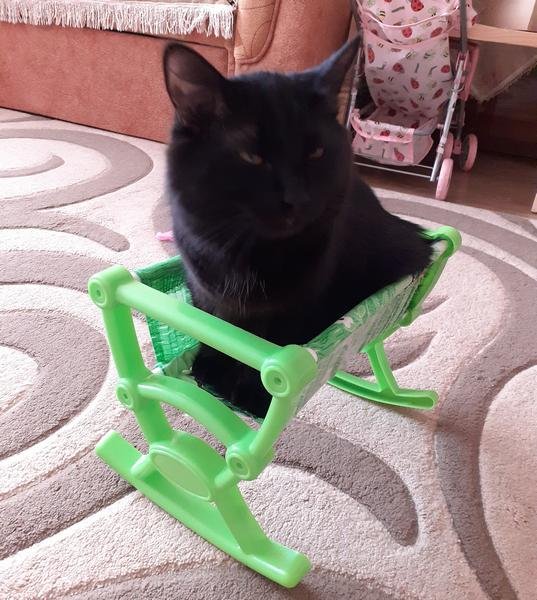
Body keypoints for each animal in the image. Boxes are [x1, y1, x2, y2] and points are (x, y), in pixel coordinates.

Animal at [163, 38, 432, 418]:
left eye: (316, 153)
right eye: (252, 157)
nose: (297, 198)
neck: (245, 252)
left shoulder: (300, 308)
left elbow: (270, 349)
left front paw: (254, 396)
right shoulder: (202, 289)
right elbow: (213, 331)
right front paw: (212, 371)